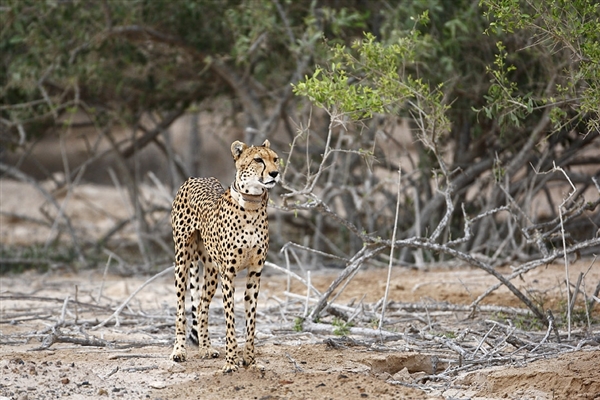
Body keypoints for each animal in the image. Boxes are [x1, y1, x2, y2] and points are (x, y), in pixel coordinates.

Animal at [170, 140, 280, 372]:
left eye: (275, 158)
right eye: (258, 160)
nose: (275, 173)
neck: (251, 206)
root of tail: (197, 177)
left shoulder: (255, 272)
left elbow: (250, 320)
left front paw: (251, 361)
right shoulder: (228, 273)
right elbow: (230, 320)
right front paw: (231, 362)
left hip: (212, 270)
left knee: (202, 306)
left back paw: (205, 348)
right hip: (182, 260)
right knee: (181, 308)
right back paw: (179, 350)